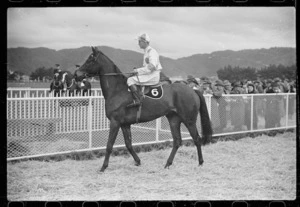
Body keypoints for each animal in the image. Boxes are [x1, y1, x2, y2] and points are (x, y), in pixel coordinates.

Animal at [74, 47, 212, 173]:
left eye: (90, 59)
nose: (76, 74)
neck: (118, 90)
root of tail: (193, 90)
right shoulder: (124, 124)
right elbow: (128, 144)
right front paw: (138, 161)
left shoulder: (115, 122)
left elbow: (109, 145)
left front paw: (103, 167)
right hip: (174, 119)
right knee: (177, 141)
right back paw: (168, 164)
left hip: (189, 120)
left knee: (196, 139)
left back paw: (200, 162)